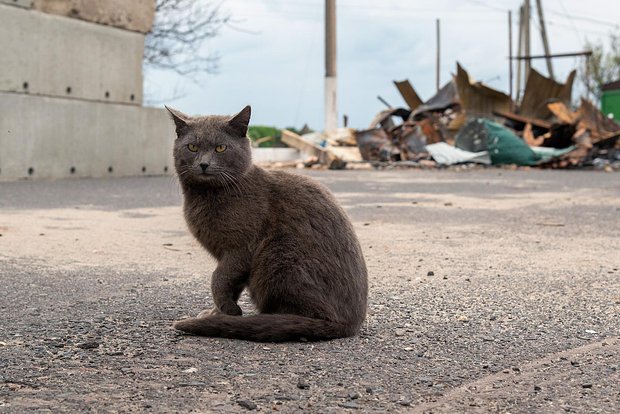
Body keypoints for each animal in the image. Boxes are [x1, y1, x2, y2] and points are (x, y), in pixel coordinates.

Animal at [166, 105, 368, 342]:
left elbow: (219, 278)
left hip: (277, 256)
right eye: (192, 147)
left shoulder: (241, 248)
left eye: (221, 148)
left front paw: (227, 312)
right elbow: (231, 285)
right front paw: (218, 313)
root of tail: (350, 324)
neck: (206, 195)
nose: (204, 164)